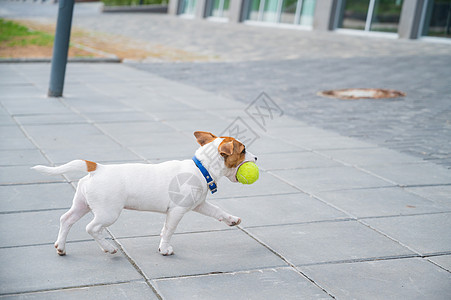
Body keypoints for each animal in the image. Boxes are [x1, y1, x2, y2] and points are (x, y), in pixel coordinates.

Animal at [31, 132, 258, 256]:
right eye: (243, 150)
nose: (256, 158)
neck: (201, 168)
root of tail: (97, 168)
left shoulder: (199, 205)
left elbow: (218, 211)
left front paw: (231, 220)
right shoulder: (177, 211)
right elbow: (169, 230)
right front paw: (164, 249)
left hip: (82, 205)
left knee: (66, 219)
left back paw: (61, 247)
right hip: (108, 213)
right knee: (91, 228)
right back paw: (108, 248)